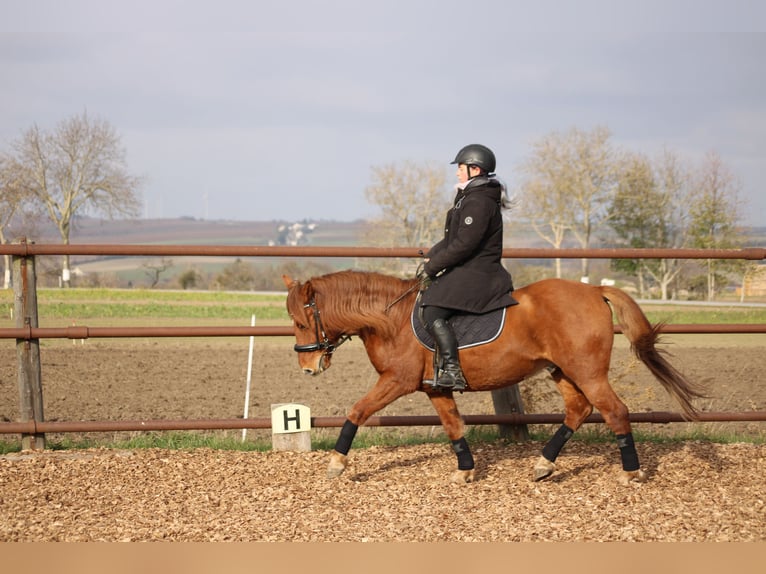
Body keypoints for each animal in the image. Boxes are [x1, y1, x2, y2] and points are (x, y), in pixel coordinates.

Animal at [282, 272, 708, 486]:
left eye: (301, 322)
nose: (308, 368)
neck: (392, 319)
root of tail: (594, 290)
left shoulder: (397, 380)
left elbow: (357, 411)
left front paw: (336, 464)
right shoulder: (434, 388)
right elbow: (454, 426)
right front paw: (465, 470)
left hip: (587, 371)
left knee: (615, 411)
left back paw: (631, 473)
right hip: (562, 370)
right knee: (579, 410)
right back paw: (543, 465)